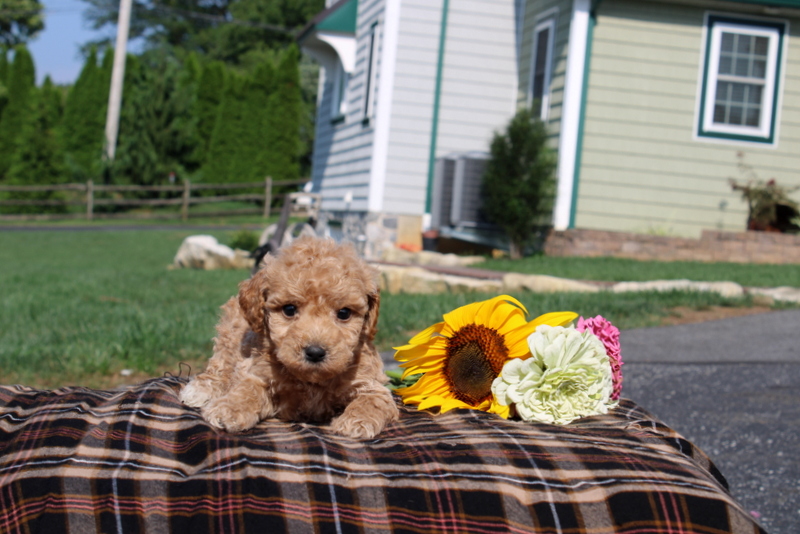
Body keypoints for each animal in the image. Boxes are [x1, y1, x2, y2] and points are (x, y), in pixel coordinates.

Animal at [178, 238, 396, 440]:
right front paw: (228, 409)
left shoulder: (371, 384)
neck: (311, 381)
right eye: (289, 309)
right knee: (220, 365)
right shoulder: (259, 374)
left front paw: (357, 421)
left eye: (344, 313)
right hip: (229, 335)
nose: (315, 352)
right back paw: (200, 389)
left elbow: (372, 401)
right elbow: (247, 390)